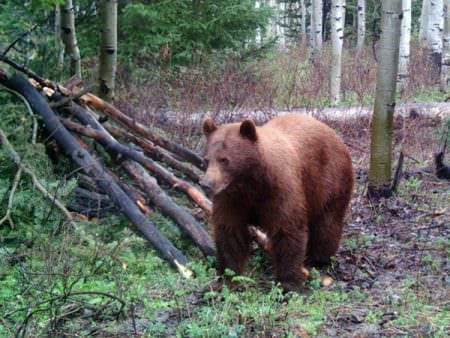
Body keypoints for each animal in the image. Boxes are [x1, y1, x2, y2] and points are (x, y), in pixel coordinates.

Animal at [202, 114, 354, 290]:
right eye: (207, 159)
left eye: (224, 160)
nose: (206, 184)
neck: (251, 183)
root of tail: (334, 134)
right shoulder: (232, 198)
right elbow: (230, 232)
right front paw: (228, 277)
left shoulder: (279, 190)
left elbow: (287, 230)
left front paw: (288, 283)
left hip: (330, 180)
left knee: (327, 223)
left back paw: (318, 258)